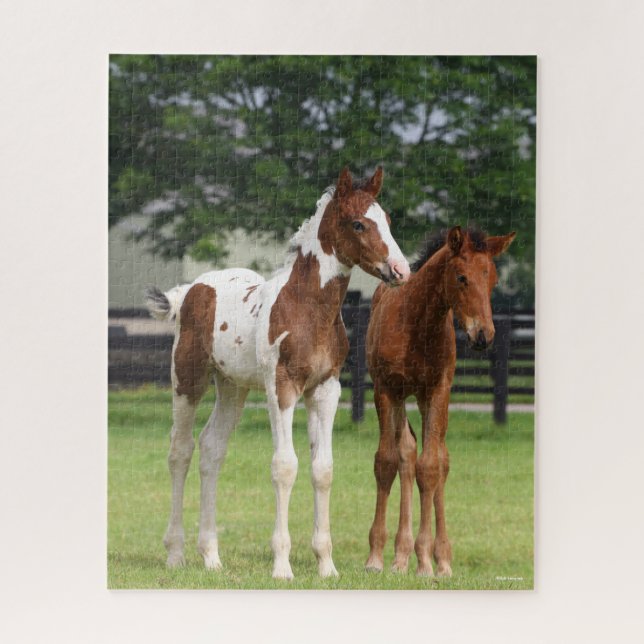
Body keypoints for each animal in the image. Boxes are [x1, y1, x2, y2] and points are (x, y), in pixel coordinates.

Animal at [145, 166, 410, 580]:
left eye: (388, 221)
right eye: (358, 223)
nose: (401, 271)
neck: (307, 308)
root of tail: (191, 289)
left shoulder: (326, 389)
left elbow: (323, 469)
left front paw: (326, 565)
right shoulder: (281, 387)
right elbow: (285, 466)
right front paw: (282, 566)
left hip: (232, 387)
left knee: (211, 449)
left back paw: (211, 556)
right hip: (187, 378)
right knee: (180, 450)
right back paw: (176, 553)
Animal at [364, 225, 516, 576]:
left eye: (492, 280)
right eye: (461, 277)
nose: (483, 336)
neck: (417, 322)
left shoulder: (437, 390)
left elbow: (431, 467)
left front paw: (426, 561)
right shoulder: (386, 389)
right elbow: (387, 461)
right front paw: (376, 557)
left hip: (423, 398)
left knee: (438, 458)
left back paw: (439, 558)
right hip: (402, 397)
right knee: (406, 453)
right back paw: (399, 556)